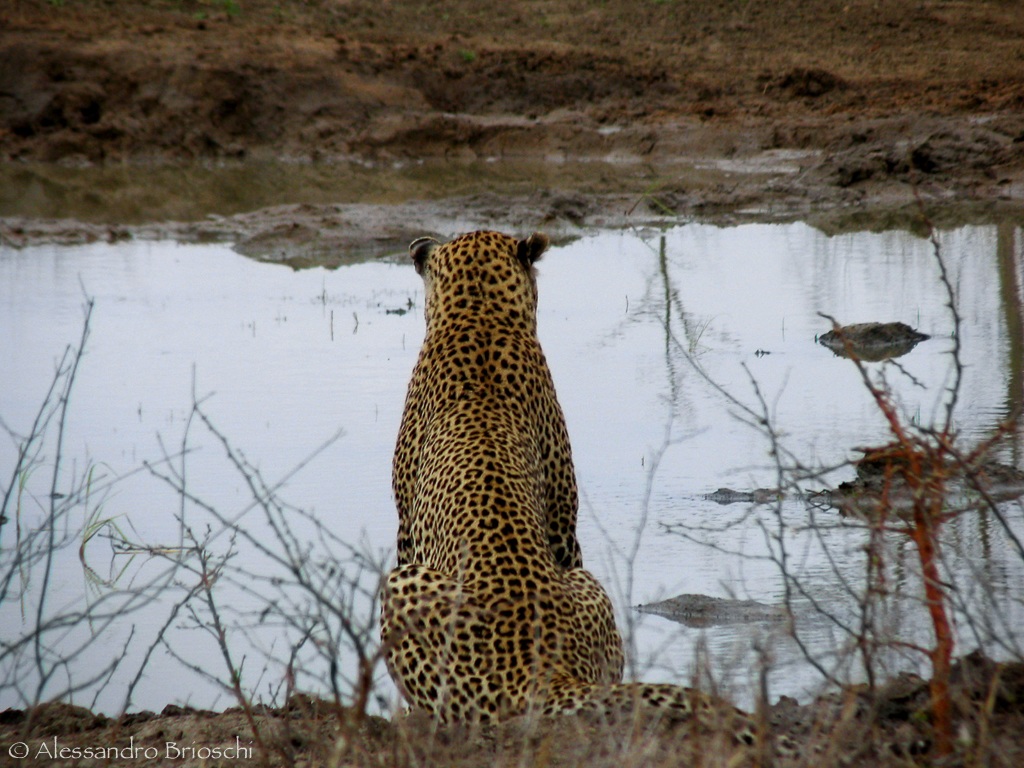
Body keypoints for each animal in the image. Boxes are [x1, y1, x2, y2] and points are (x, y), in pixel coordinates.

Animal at [381, 230, 760, 747]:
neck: (478, 312)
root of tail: (543, 671)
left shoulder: (411, 530)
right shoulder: (563, 529)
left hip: (399, 583)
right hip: (589, 582)